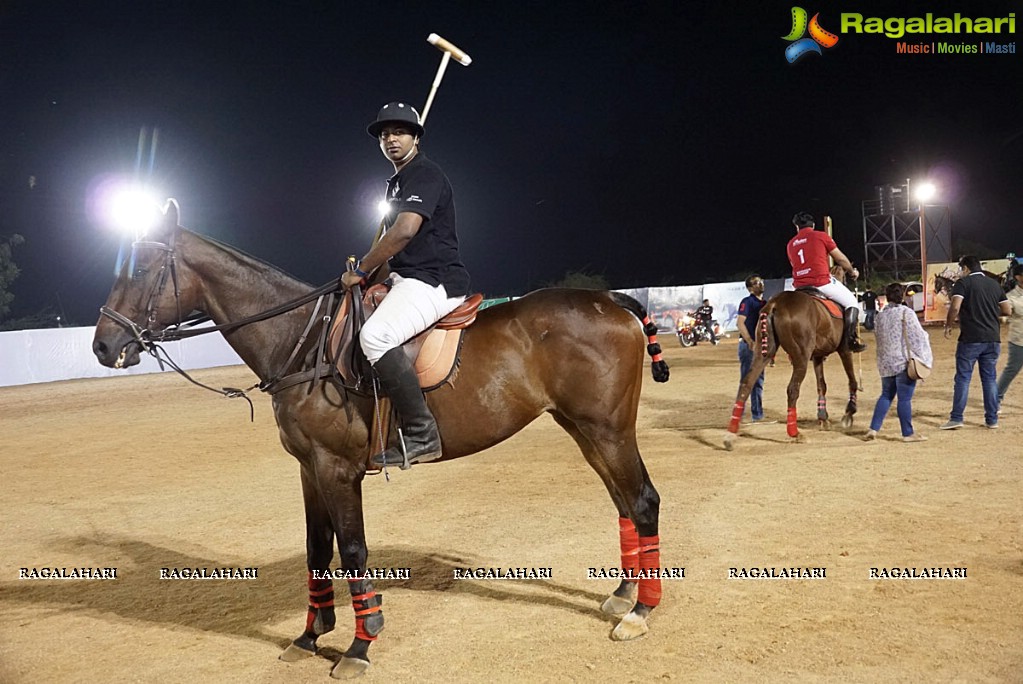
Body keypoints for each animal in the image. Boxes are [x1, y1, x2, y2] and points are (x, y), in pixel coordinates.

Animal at [94, 200, 671, 674]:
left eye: (141, 268)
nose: (103, 346)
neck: (299, 341)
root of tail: (609, 300)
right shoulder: (308, 467)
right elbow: (315, 548)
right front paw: (310, 636)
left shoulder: (337, 467)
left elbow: (351, 549)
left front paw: (359, 644)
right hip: (582, 428)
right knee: (622, 500)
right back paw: (623, 595)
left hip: (608, 428)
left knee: (643, 500)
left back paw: (641, 611)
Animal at [724, 290, 859, 449]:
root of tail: (774, 304)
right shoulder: (844, 349)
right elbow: (852, 381)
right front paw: (849, 413)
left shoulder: (818, 356)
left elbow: (821, 386)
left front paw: (823, 418)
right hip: (801, 358)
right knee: (793, 389)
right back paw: (795, 433)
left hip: (762, 353)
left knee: (747, 383)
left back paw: (730, 435)